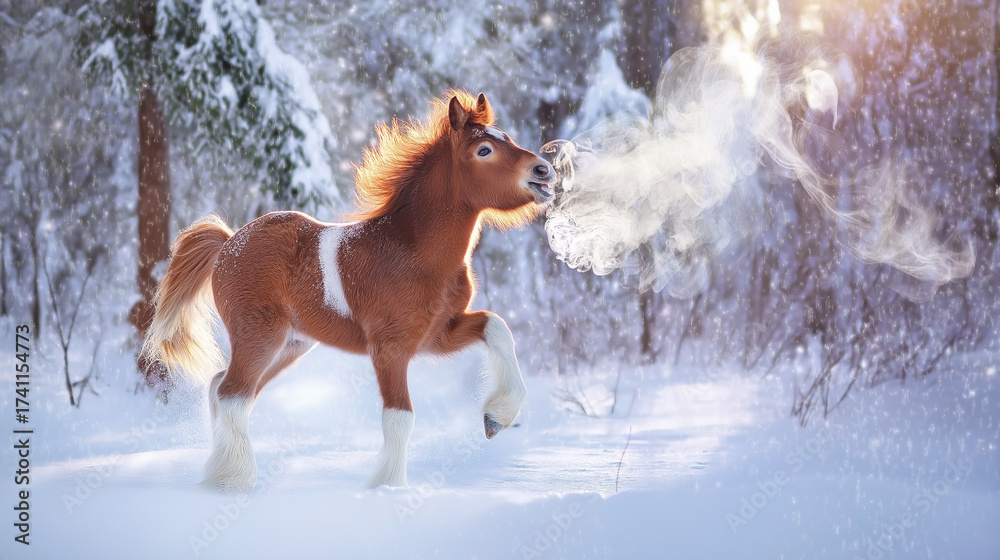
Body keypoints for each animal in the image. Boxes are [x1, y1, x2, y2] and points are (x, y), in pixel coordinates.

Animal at [141, 91, 556, 492]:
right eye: (484, 150)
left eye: (507, 138)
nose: (544, 170)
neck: (412, 250)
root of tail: (228, 241)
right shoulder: (390, 347)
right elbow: (399, 418)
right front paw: (388, 488)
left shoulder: (435, 335)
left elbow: (496, 326)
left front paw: (496, 417)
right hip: (259, 335)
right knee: (232, 395)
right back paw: (235, 480)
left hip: (291, 345)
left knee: (221, 387)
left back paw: (217, 473)